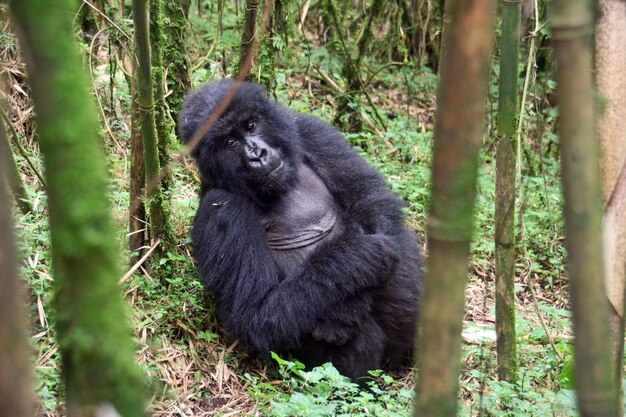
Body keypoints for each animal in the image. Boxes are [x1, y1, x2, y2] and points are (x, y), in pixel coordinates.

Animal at [177, 79, 420, 380]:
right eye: (229, 142)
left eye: (251, 125)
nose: (257, 155)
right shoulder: (221, 207)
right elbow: (257, 314)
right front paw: (360, 260)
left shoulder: (310, 129)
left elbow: (372, 205)